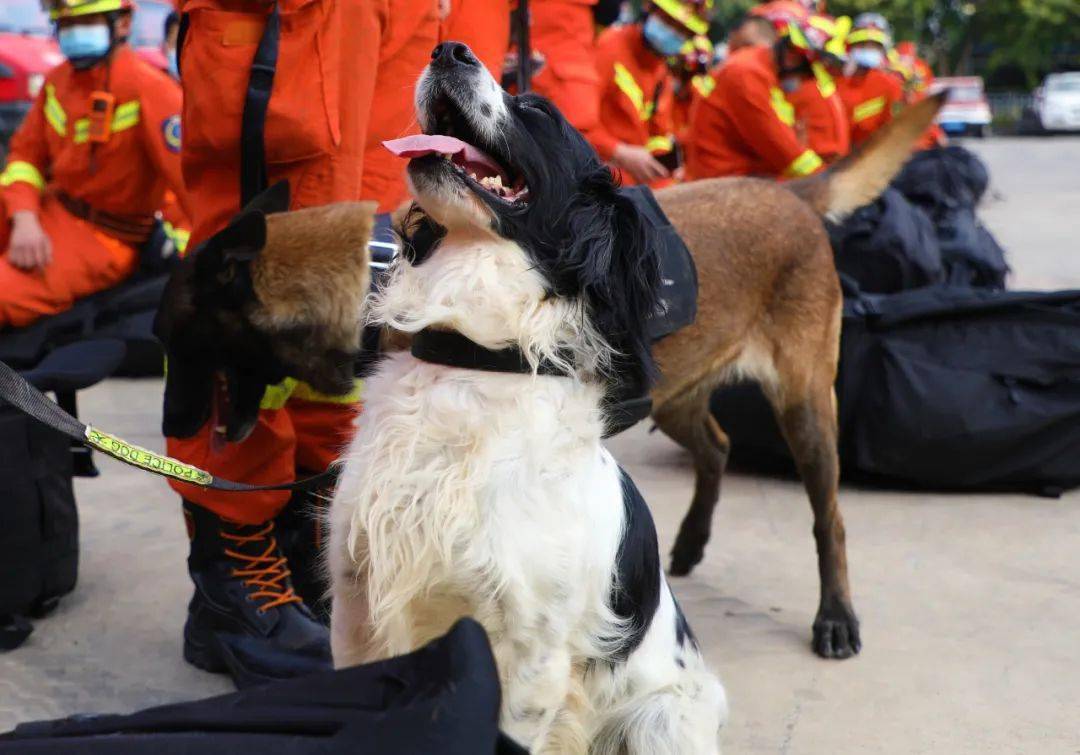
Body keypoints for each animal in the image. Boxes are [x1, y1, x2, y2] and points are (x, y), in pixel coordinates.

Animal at [324, 44, 721, 751]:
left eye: (537, 109)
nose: (448, 48)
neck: (474, 361)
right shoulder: (355, 606)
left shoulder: (530, 653)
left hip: (661, 721)